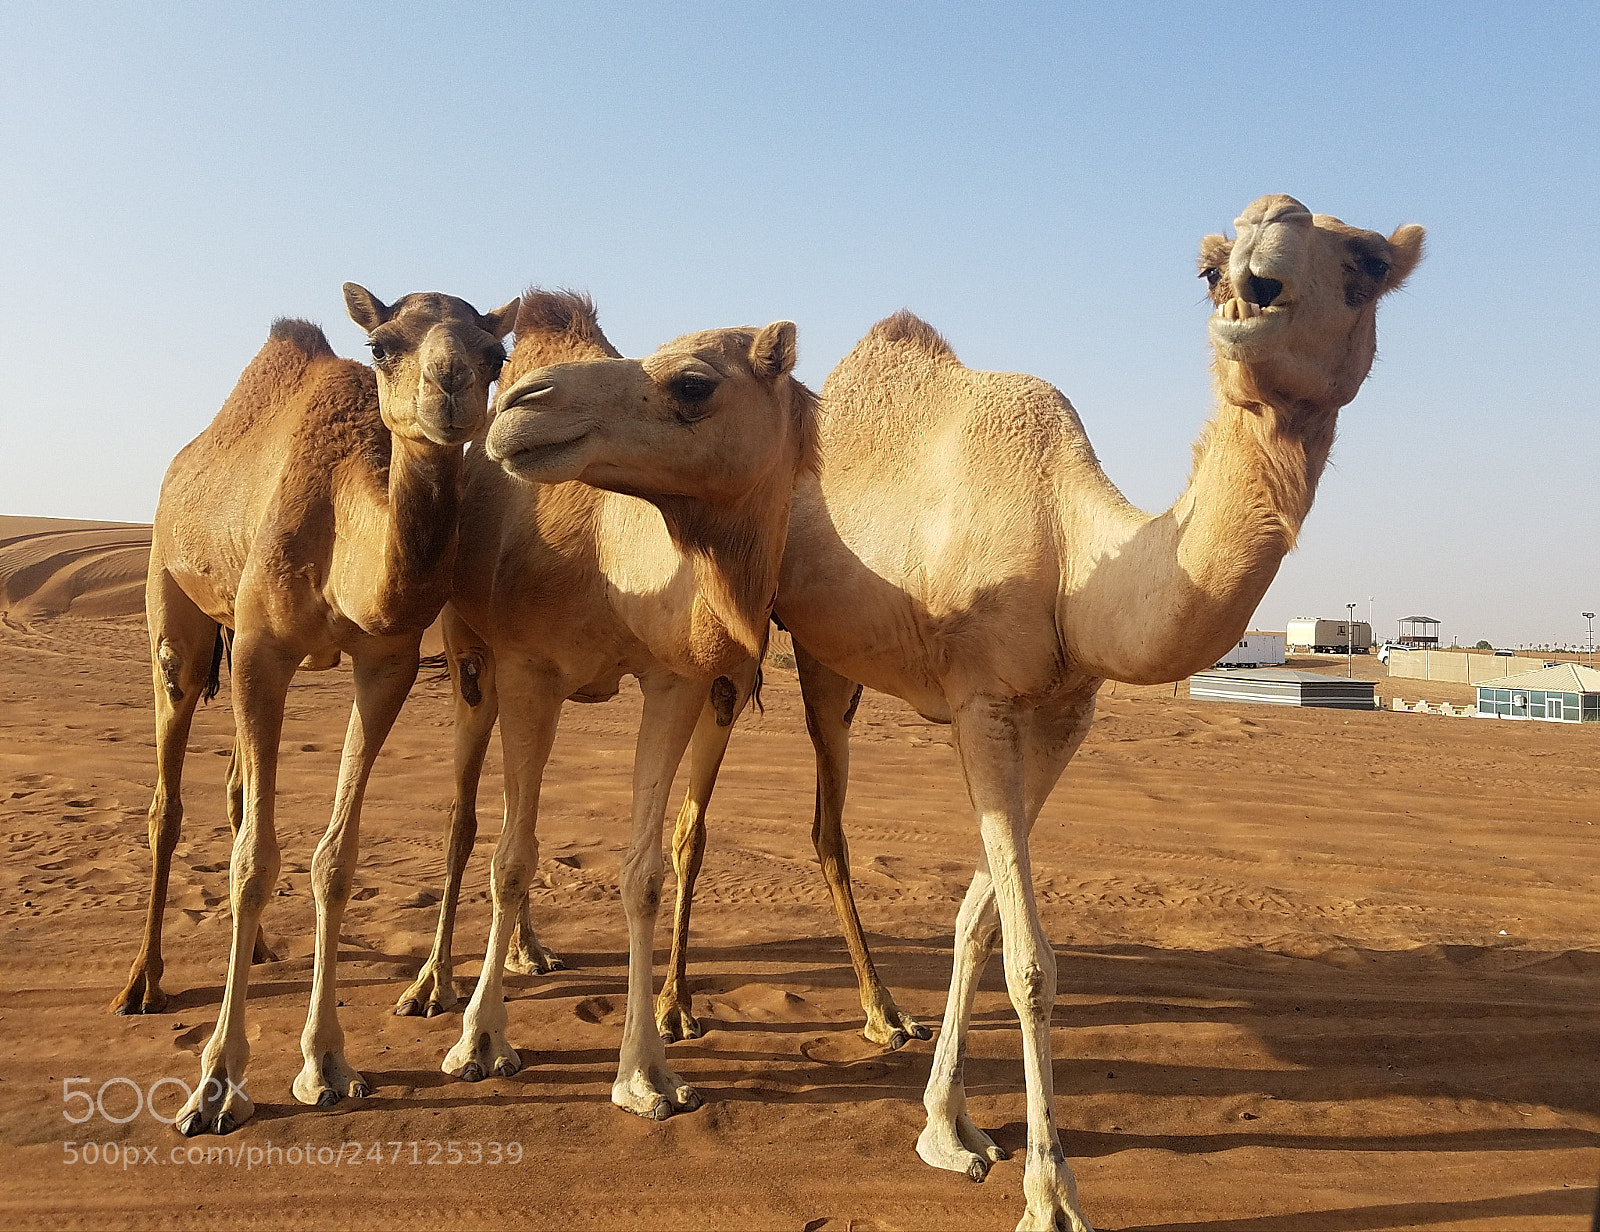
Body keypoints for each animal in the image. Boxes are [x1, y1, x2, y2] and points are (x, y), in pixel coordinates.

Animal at [120, 284, 519, 1136]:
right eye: (383, 346)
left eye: (494, 352)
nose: (450, 386)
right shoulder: (259, 649)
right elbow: (251, 861)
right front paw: (216, 1082)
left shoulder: (387, 662)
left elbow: (334, 860)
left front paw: (326, 1062)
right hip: (175, 604)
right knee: (169, 798)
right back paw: (143, 982)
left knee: (236, 790)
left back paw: (259, 950)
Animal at [407, 291, 816, 1121]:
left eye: (693, 384)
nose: (522, 408)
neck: (613, 563)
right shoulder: (528, 669)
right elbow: (510, 859)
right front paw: (481, 1044)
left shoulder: (677, 682)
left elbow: (642, 872)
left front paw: (648, 1075)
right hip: (470, 655)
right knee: (471, 821)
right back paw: (434, 987)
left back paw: (531, 952)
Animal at [657, 195, 1424, 1231]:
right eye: (1210, 267)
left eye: (1367, 262)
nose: (1253, 281)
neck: (1072, 555)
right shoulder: (982, 701)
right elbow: (1029, 957)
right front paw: (1050, 1191)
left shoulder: (1063, 716)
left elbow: (979, 917)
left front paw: (948, 1126)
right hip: (731, 628)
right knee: (691, 821)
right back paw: (668, 1012)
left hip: (826, 661)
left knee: (826, 819)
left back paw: (878, 1014)